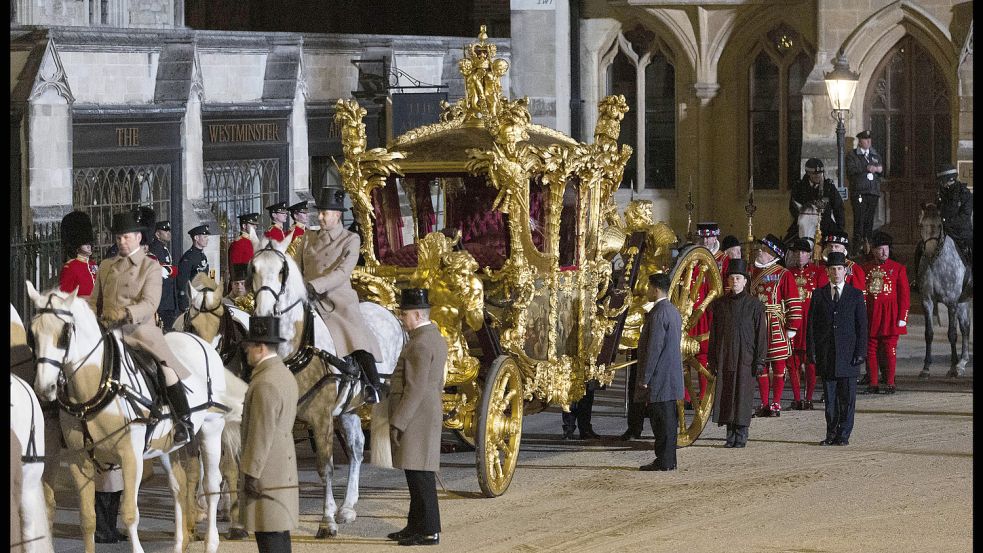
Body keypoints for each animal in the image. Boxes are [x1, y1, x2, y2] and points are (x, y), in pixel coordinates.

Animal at [26, 282, 242, 552]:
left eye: (65, 333)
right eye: (32, 334)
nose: (45, 388)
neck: (101, 386)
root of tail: (200, 342)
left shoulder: (130, 457)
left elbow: (130, 513)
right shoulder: (79, 460)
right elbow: (87, 519)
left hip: (212, 428)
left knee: (212, 483)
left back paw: (212, 540)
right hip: (166, 445)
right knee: (179, 485)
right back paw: (180, 542)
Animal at [250, 234, 404, 540]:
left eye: (282, 271)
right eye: (253, 268)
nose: (261, 318)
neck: (296, 351)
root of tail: (387, 312)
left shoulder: (321, 418)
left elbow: (326, 468)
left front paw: (326, 521)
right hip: (348, 407)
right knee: (357, 449)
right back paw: (348, 507)